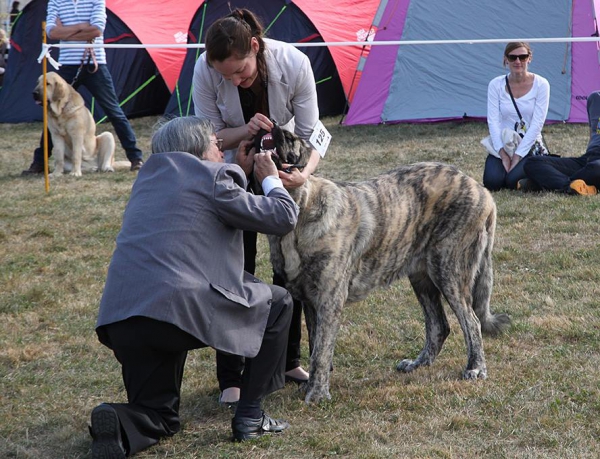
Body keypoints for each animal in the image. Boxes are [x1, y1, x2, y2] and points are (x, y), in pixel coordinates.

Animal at [258, 127, 510, 404]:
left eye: (290, 139)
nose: (272, 127)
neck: (302, 208)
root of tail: (481, 190)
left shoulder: (328, 300)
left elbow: (321, 351)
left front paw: (317, 394)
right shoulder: (310, 303)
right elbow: (316, 346)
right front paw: (313, 386)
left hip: (449, 272)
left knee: (471, 322)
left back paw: (475, 367)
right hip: (422, 278)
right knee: (439, 326)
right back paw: (418, 363)